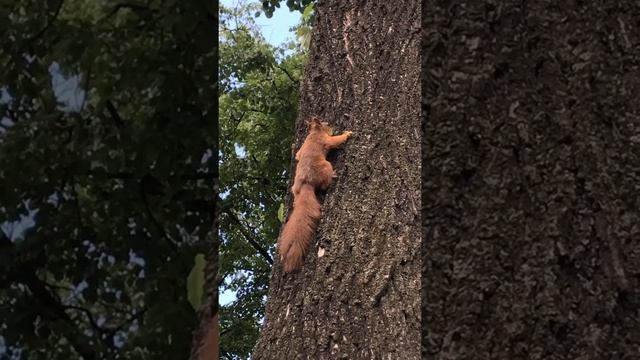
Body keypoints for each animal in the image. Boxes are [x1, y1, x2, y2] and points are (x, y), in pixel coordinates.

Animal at [278, 116, 352, 272]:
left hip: (295, 190)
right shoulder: (326, 140)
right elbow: (336, 140)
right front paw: (347, 134)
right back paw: (333, 176)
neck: (314, 133)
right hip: (326, 167)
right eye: (326, 124)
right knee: (324, 184)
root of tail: (306, 184)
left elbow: (297, 155)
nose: (331, 126)